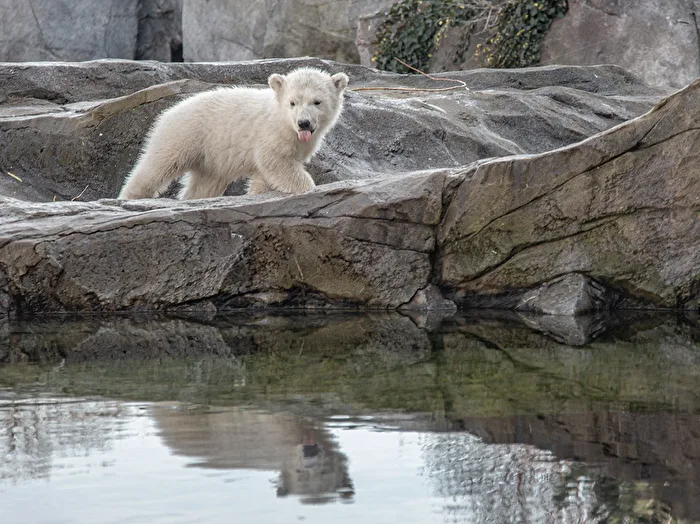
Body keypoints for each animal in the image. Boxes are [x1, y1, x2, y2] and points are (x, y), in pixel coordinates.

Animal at [118, 67, 349, 200]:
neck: (282, 118)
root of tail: (168, 112)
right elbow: (276, 162)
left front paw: (257, 193)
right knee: (159, 164)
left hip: (210, 156)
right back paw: (132, 195)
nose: (304, 123)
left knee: (205, 183)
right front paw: (308, 188)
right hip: (185, 133)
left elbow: (264, 176)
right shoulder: (270, 135)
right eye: (293, 102)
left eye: (317, 102)